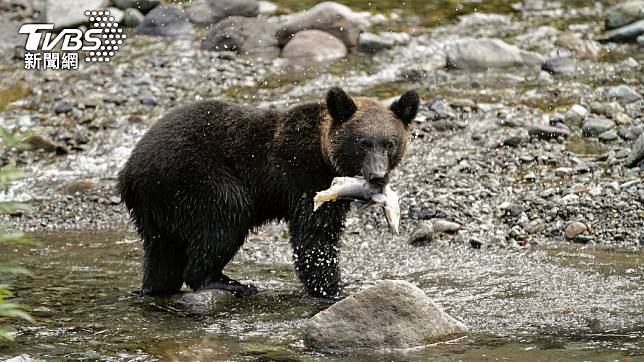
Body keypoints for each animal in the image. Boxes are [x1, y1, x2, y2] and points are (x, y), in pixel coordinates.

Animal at [118, 87, 420, 300]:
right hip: (191, 173)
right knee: (226, 212)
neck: (324, 156)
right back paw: (228, 282)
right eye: (363, 143)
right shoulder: (304, 176)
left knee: (162, 252)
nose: (378, 175)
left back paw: (156, 287)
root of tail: (129, 171)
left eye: (389, 143)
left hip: (156, 206)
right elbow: (315, 236)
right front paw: (332, 288)